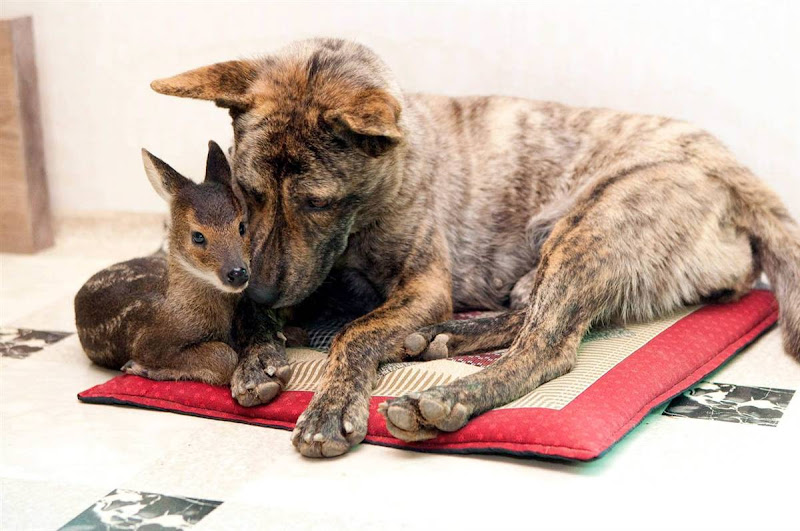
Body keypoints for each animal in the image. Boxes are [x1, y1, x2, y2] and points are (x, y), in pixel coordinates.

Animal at [152, 39, 800, 460]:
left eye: (317, 202)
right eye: (248, 193)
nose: (256, 288)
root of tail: (726, 165)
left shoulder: (423, 286)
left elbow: (355, 333)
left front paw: (333, 404)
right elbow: (261, 317)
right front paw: (257, 354)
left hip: (590, 230)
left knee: (547, 347)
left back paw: (448, 395)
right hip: (553, 251)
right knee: (527, 313)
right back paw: (444, 339)